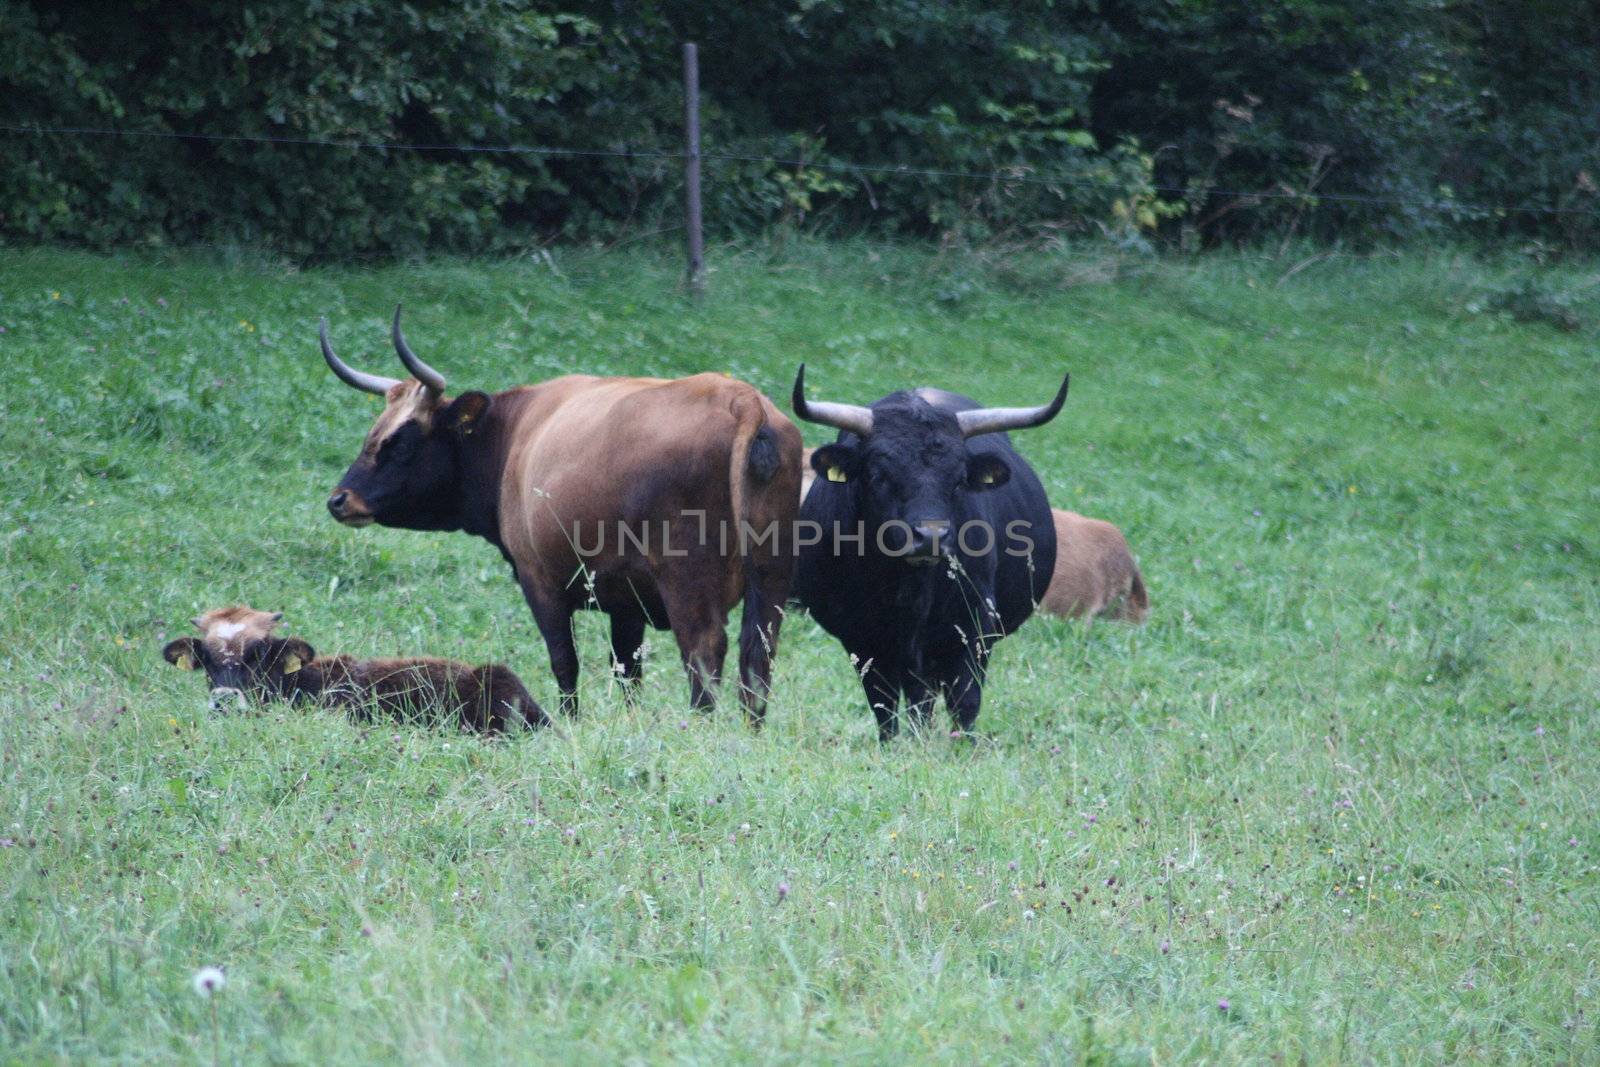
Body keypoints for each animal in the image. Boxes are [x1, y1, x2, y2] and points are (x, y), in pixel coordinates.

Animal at [318, 308, 806, 726]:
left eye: (400, 441)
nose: (340, 500)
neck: (514, 435)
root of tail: (741, 400)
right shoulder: (626, 599)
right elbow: (626, 668)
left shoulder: (540, 581)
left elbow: (564, 661)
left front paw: (571, 722)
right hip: (772, 576)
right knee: (758, 653)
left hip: (687, 581)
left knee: (704, 650)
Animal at [790, 367, 1068, 742]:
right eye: (878, 475)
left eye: (959, 480)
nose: (931, 538)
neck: (908, 591)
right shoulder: (862, 641)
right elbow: (885, 709)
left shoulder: (973, 631)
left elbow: (965, 704)